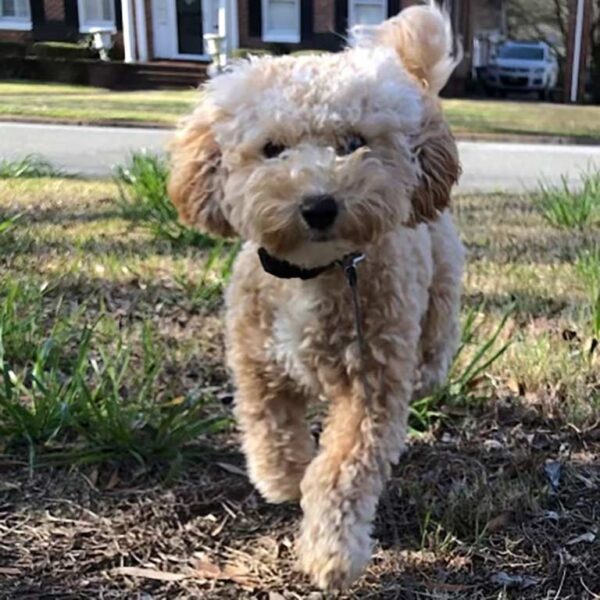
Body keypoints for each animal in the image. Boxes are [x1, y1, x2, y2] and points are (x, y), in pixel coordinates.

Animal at [169, 2, 464, 588]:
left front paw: (333, 554)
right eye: (271, 149)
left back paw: (430, 366)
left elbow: (339, 473)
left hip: (440, 280)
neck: (312, 275)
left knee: (437, 337)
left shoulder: (369, 390)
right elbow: (269, 426)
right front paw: (283, 478)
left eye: (353, 143)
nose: (319, 204)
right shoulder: (258, 364)